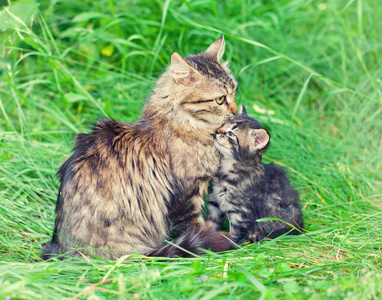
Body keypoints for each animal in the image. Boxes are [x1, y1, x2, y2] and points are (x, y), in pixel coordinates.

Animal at [43, 36, 237, 258]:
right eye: (220, 99)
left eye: (234, 91)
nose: (236, 110)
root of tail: (63, 252)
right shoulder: (185, 193)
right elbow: (193, 227)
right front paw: (206, 237)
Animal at [207, 106, 302, 245]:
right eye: (223, 124)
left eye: (231, 134)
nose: (216, 131)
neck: (228, 166)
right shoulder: (215, 200)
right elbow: (210, 222)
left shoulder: (241, 211)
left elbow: (235, 234)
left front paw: (228, 246)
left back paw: (259, 234)